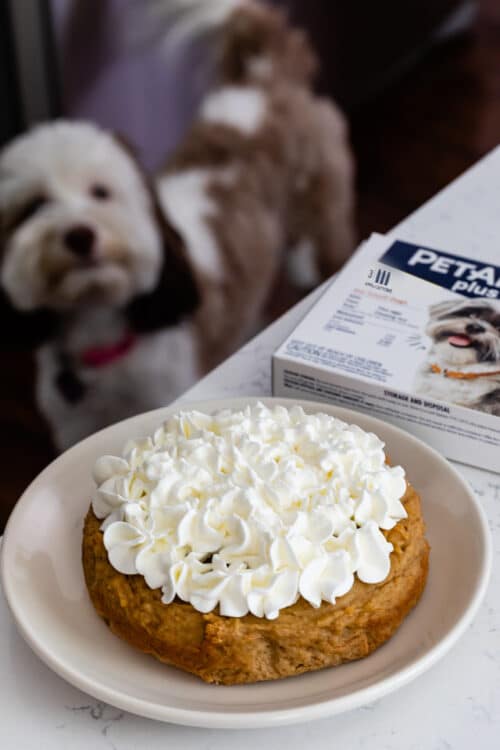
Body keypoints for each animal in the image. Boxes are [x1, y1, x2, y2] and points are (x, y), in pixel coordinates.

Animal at [0, 0, 356, 450]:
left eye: (101, 192)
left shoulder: (167, 386)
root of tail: (260, 79)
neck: (105, 332)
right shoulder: (75, 423)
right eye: (32, 206)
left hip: (319, 212)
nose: (79, 234)